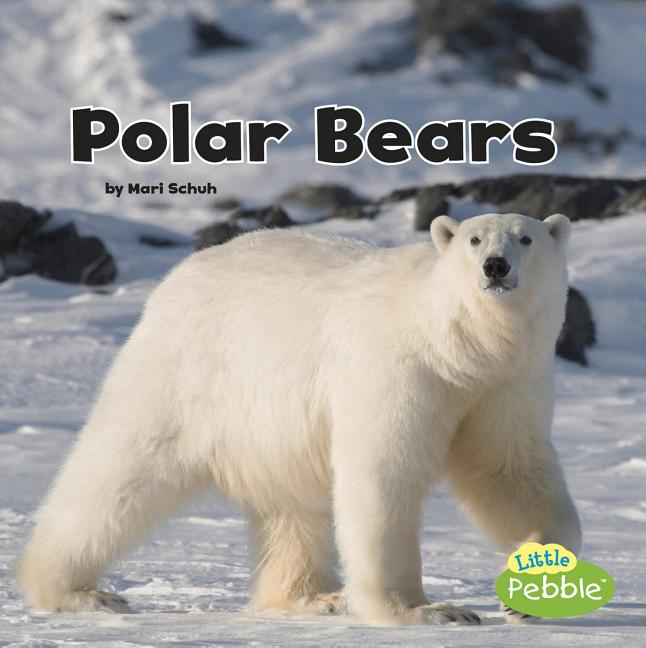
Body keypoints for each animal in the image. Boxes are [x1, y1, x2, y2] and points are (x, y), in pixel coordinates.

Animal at [17, 212, 581, 625]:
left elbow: (509, 471)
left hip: (272, 427)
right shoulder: (397, 370)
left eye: (526, 238)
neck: (454, 346)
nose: (495, 266)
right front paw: (429, 610)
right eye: (474, 239)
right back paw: (77, 592)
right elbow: (383, 473)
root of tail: (176, 278)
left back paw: (312, 597)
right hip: (187, 373)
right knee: (120, 470)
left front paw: (529, 592)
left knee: (292, 507)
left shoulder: (504, 385)